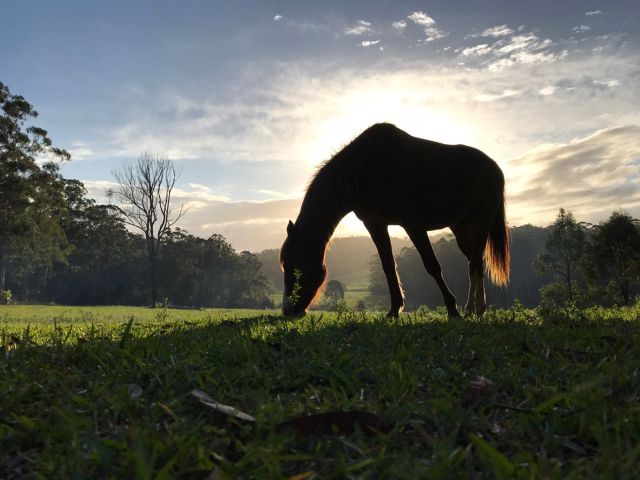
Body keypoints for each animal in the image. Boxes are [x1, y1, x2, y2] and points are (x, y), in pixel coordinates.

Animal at [280, 123, 510, 318]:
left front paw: (452, 309)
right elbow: (388, 266)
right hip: (461, 228)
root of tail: (495, 168)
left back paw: (471, 308)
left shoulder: (413, 225)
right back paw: (478, 308)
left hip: (481, 224)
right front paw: (394, 309)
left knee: (475, 264)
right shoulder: (375, 225)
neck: (363, 170)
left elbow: (432, 265)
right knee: (475, 261)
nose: (288, 310)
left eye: (294, 266)